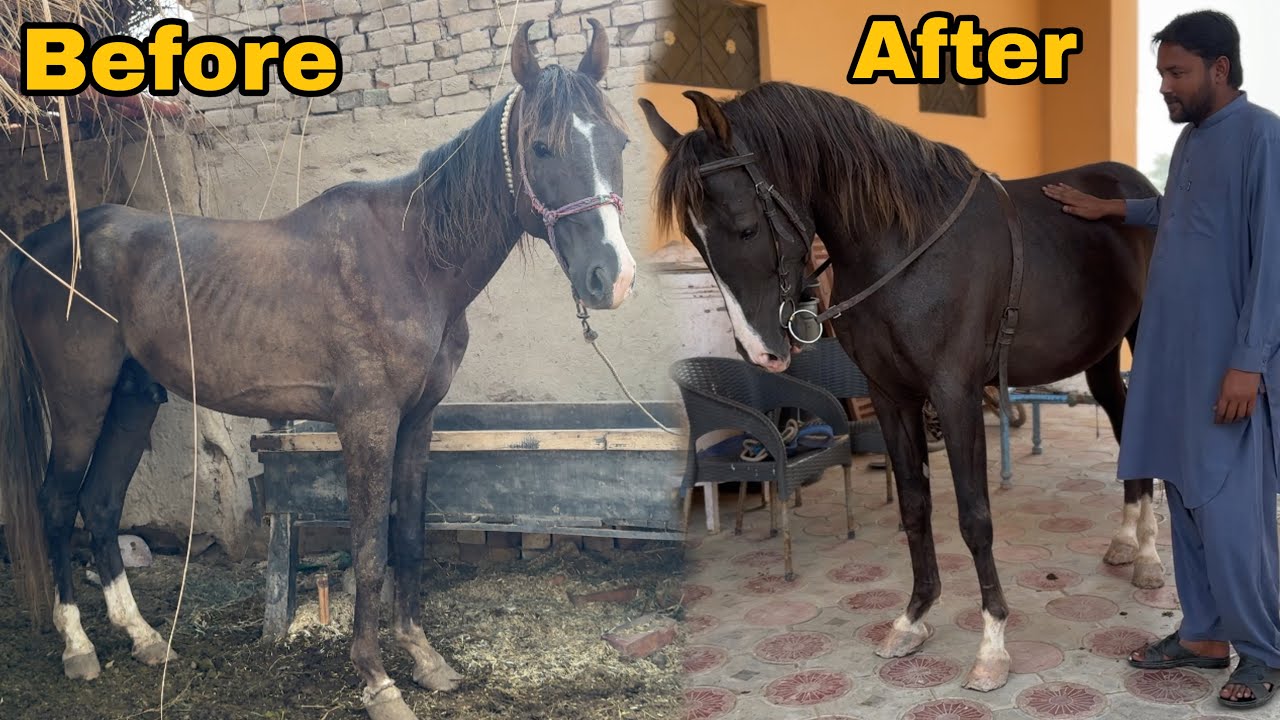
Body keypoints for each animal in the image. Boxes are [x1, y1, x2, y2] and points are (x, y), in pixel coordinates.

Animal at [0, 19, 635, 720]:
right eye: (542, 147)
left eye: (620, 141)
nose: (612, 277)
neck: (410, 258)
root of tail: (38, 247)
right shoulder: (367, 421)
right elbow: (369, 551)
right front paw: (378, 680)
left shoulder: (418, 421)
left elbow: (408, 537)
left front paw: (423, 657)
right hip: (79, 402)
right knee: (60, 502)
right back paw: (78, 647)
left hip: (133, 398)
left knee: (102, 501)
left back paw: (142, 638)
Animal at [639, 81, 1161, 693]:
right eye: (694, 242)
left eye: (745, 226)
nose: (761, 351)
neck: (903, 248)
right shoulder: (891, 396)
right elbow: (914, 506)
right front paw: (913, 617)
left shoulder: (956, 394)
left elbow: (974, 517)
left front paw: (992, 644)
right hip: (1101, 354)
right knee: (1124, 424)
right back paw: (1127, 541)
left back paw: (1150, 557)